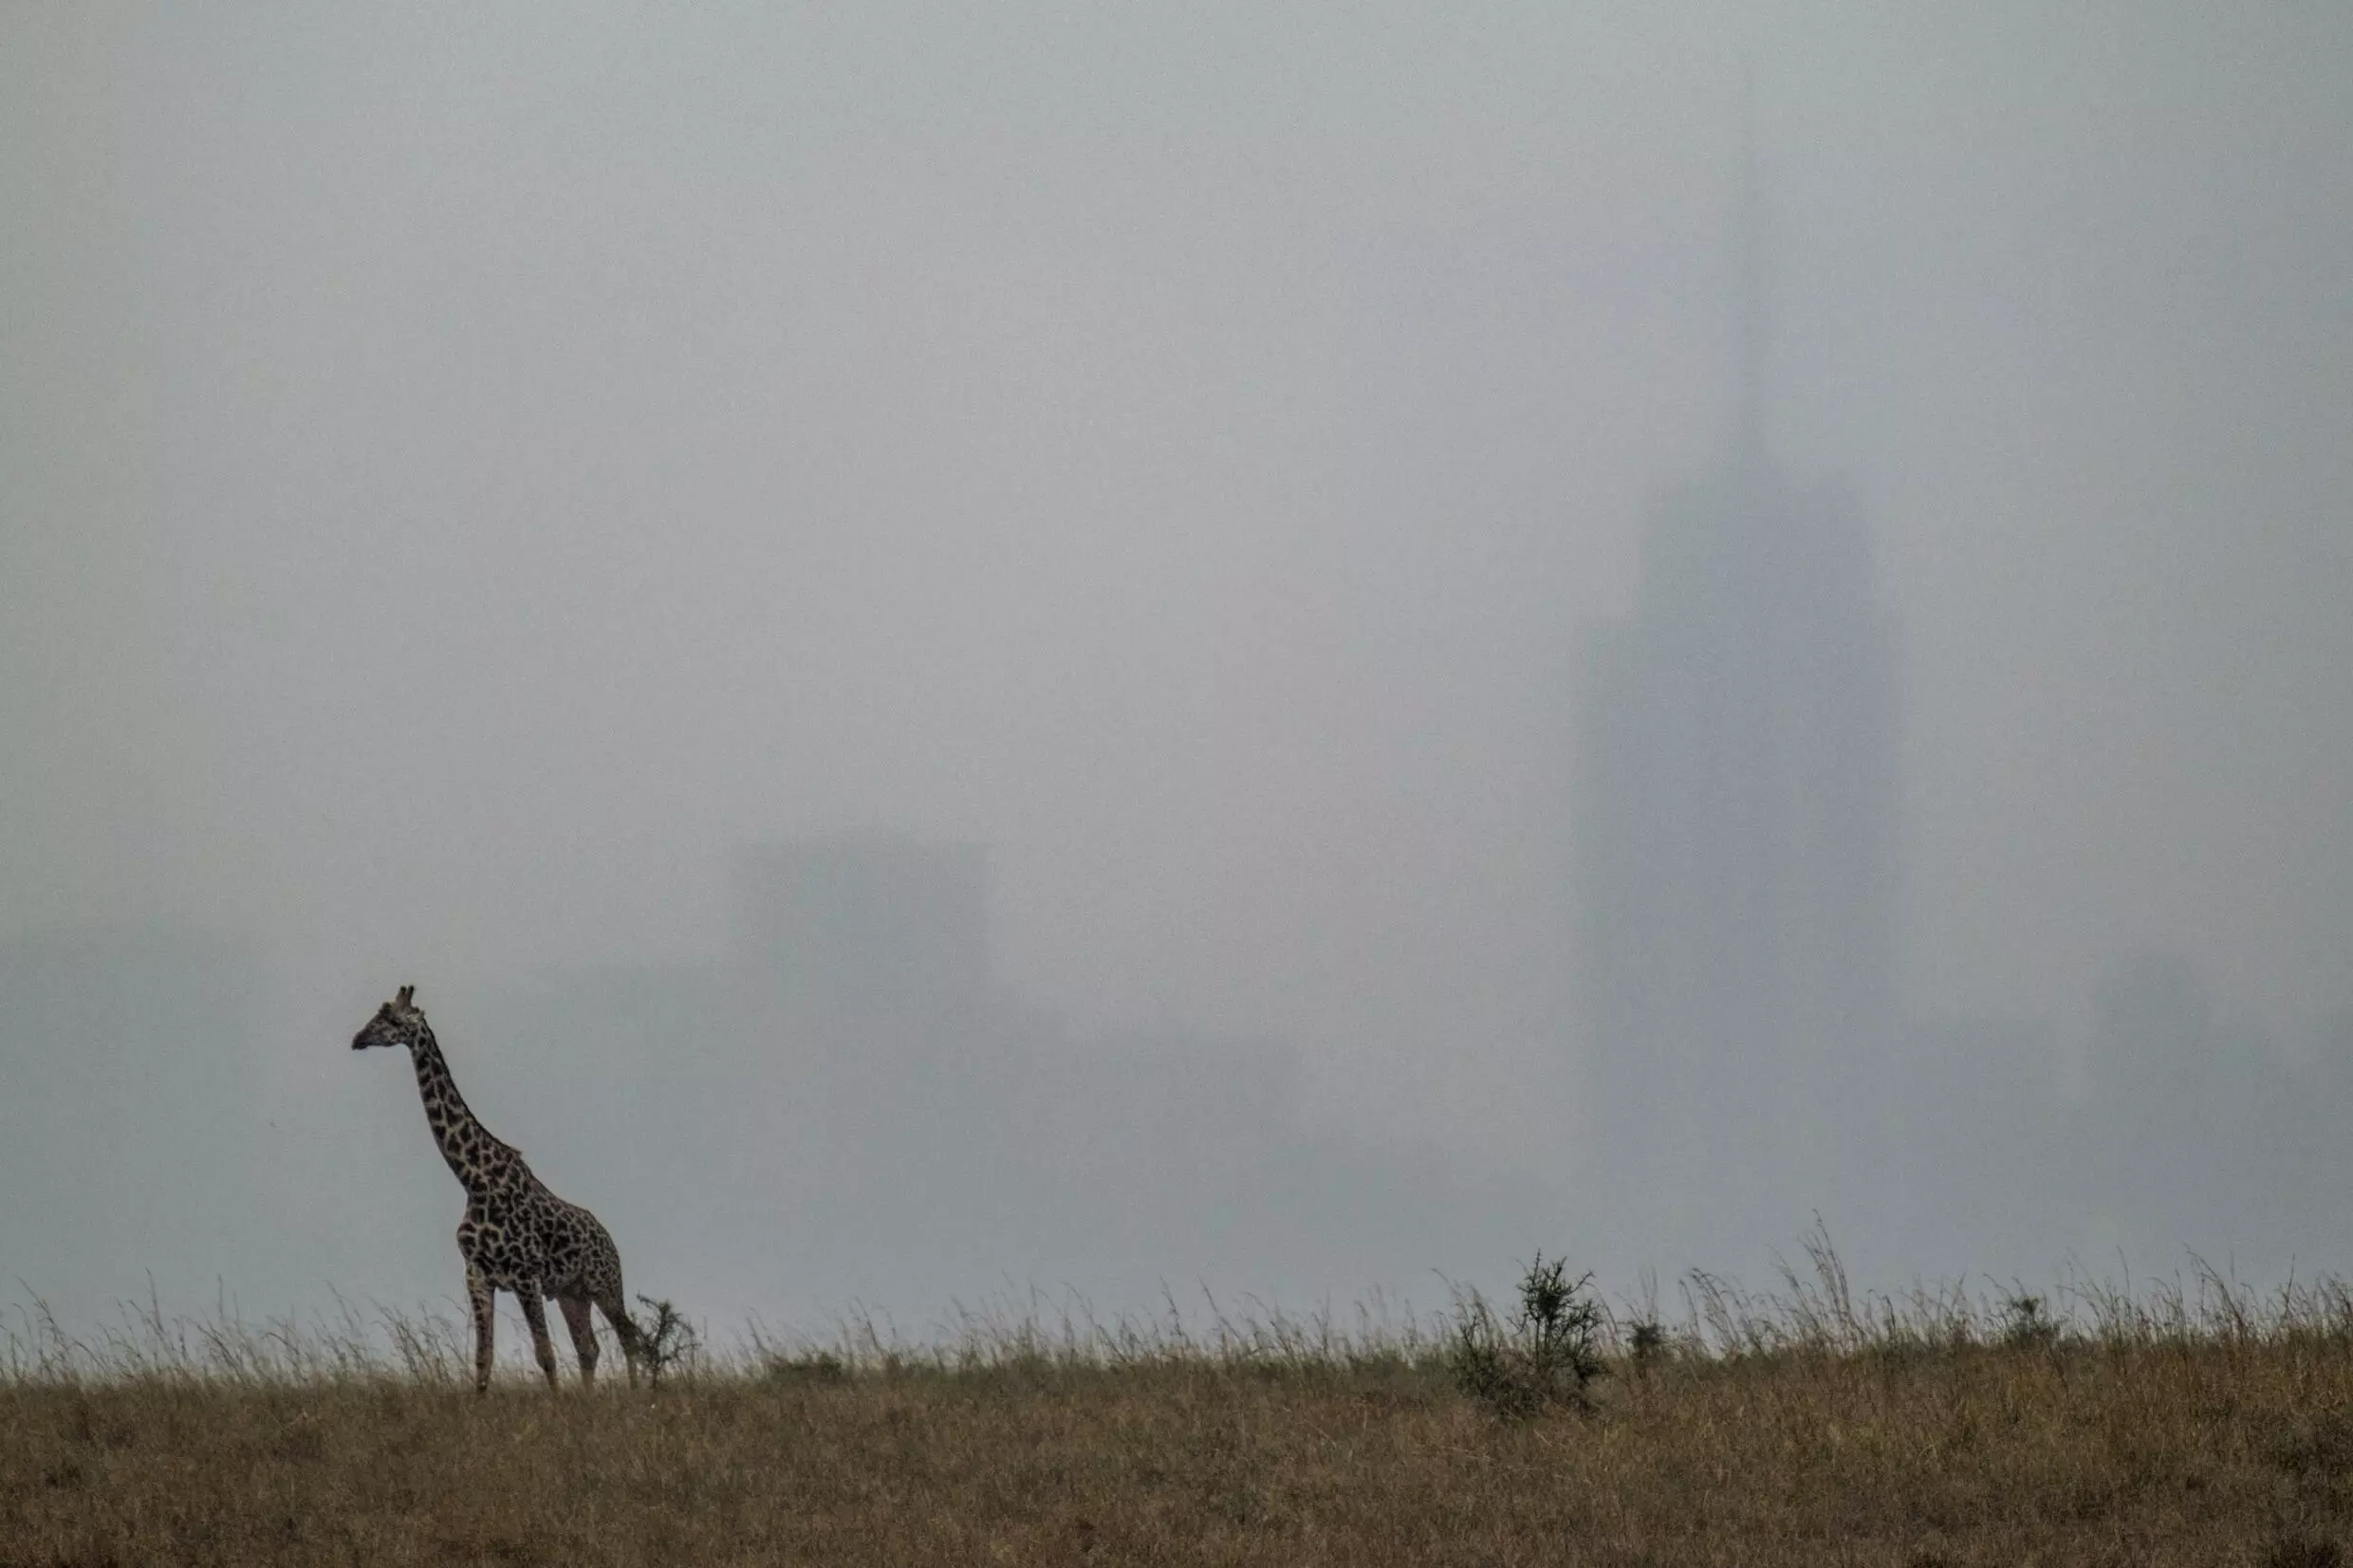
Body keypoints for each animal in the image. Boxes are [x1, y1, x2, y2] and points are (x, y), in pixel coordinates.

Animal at [351, 984, 644, 1393]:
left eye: (391, 1019)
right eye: (376, 1013)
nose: (358, 1039)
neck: (474, 1179)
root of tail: (608, 1239)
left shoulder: (525, 1275)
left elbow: (545, 1355)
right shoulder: (477, 1274)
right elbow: (482, 1359)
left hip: (605, 1283)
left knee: (628, 1337)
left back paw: (636, 1393)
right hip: (572, 1293)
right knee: (589, 1347)